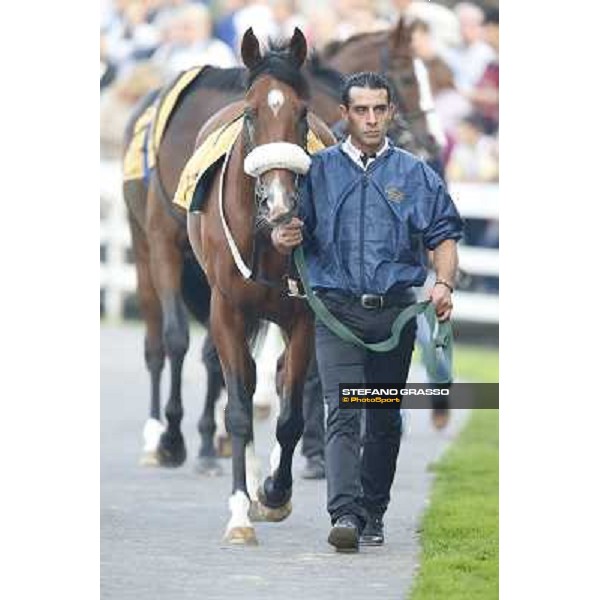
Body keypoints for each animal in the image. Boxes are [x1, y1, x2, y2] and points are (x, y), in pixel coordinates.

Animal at [185, 28, 332, 544]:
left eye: (302, 112)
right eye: (251, 113)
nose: (282, 203)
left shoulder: (303, 315)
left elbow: (290, 417)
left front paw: (275, 494)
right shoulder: (227, 309)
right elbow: (238, 409)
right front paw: (240, 513)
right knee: (245, 387)